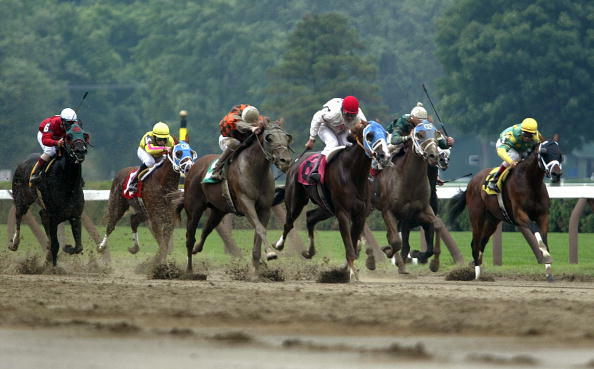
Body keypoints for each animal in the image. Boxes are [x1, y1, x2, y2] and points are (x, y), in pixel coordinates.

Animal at [9, 123, 88, 264]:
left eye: (84, 135)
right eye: (68, 136)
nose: (80, 151)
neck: (67, 184)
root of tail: (23, 162)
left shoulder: (74, 214)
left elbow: (79, 247)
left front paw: (67, 248)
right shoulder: (52, 217)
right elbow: (55, 245)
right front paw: (52, 264)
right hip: (21, 199)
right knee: (18, 215)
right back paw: (14, 243)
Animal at [177, 121, 292, 274]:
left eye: (287, 138)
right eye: (269, 138)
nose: (286, 161)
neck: (255, 171)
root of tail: (193, 167)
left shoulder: (264, 209)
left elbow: (258, 235)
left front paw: (256, 271)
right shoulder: (246, 204)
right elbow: (260, 229)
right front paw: (271, 253)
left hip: (218, 210)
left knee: (207, 229)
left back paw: (197, 249)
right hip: (194, 209)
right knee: (190, 238)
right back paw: (189, 269)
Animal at [274, 121, 394, 278]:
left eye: (385, 134)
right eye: (369, 135)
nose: (385, 156)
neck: (353, 174)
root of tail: (296, 162)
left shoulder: (360, 215)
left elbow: (353, 242)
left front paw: (347, 268)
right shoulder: (343, 213)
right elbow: (349, 245)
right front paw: (352, 272)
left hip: (326, 208)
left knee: (310, 217)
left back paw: (309, 252)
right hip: (295, 201)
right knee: (289, 223)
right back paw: (278, 245)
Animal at [372, 123, 442, 274]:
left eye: (435, 134)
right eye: (420, 135)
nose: (434, 156)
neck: (408, 179)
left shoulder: (420, 211)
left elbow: (436, 227)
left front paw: (420, 256)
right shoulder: (388, 211)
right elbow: (396, 242)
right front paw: (388, 251)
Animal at [448, 139, 560, 280]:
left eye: (559, 153)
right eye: (544, 153)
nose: (557, 173)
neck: (530, 183)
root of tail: (471, 182)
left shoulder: (543, 215)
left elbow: (544, 239)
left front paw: (549, 270)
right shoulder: (520, 215)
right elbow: (535, 230)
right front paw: (545, 257)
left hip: (492, 220)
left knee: (482, 242)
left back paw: (477, 267)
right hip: (476, 216)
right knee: (475, 243)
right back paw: (477, 274)